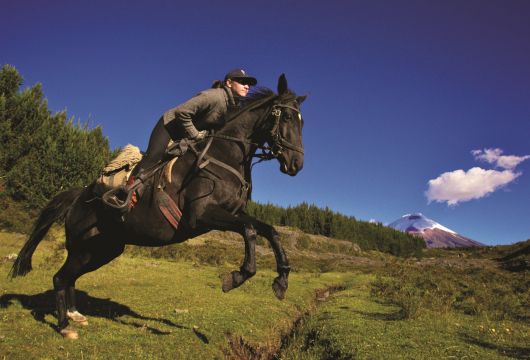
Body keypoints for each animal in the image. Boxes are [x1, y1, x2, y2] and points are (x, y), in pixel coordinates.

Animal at [8, 73, 306, 338]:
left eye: (302, 121)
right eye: (287, 117)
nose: (296, 164)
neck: (226, 154)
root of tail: (80, 196)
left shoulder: (233, 213)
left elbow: (269, 230)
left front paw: (281, 282)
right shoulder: (202, 216)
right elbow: (250, 231)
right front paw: (237, 277)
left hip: (102, 249)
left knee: (69, 278)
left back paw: (75, 315)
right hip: (86, 248)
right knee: (61, 278)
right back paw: (64, 326)